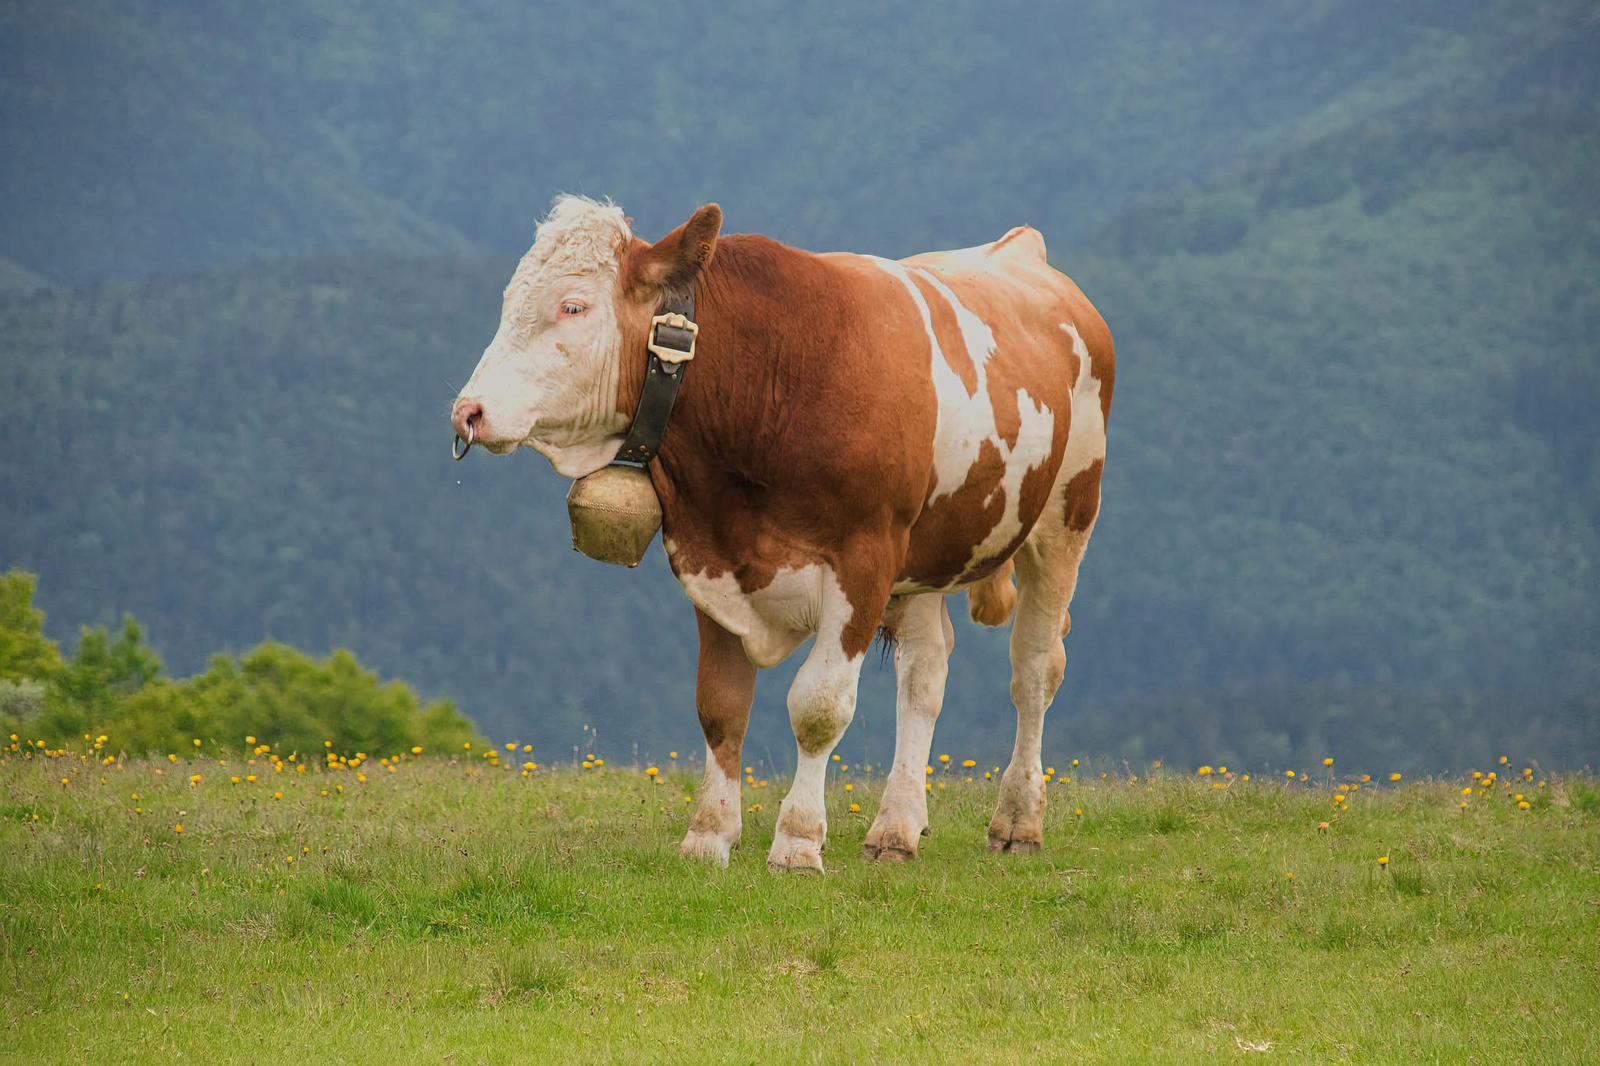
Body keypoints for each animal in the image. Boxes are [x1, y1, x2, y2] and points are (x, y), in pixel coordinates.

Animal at [451, 196, 1114, 872]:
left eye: (573, 306)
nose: (467, 411)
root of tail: (1021, 250)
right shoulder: (708, 557)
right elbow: (720, 705)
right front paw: (709, 836)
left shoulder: (865, 559)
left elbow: (819, 707)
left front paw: (797, 842)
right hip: (928, 554)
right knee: (925, 675)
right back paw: (896, 830)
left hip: (1067, 516)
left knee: (1034, 668)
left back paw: (1018, 822)